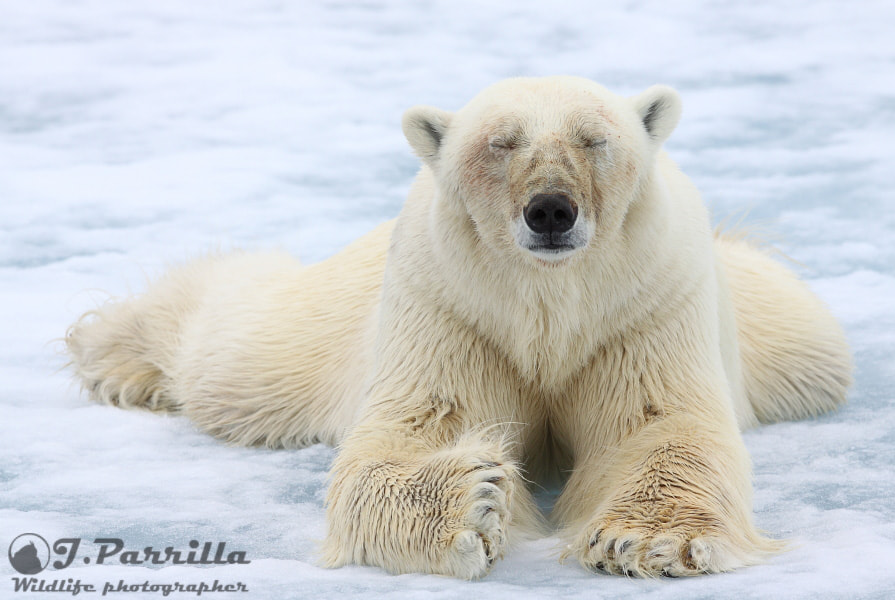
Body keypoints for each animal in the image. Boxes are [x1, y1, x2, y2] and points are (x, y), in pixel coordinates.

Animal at [68, 75, 856, 576]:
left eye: (593, 138)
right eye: (499, 142)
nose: (550, 209)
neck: (549, 300)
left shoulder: (642, 306)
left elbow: (656, 424)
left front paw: (648, 543)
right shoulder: (454, 308)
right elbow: (424, 427)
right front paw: (472, 503)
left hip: (776, 333)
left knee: (812, 345)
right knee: (240, 358)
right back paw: (113, 352)